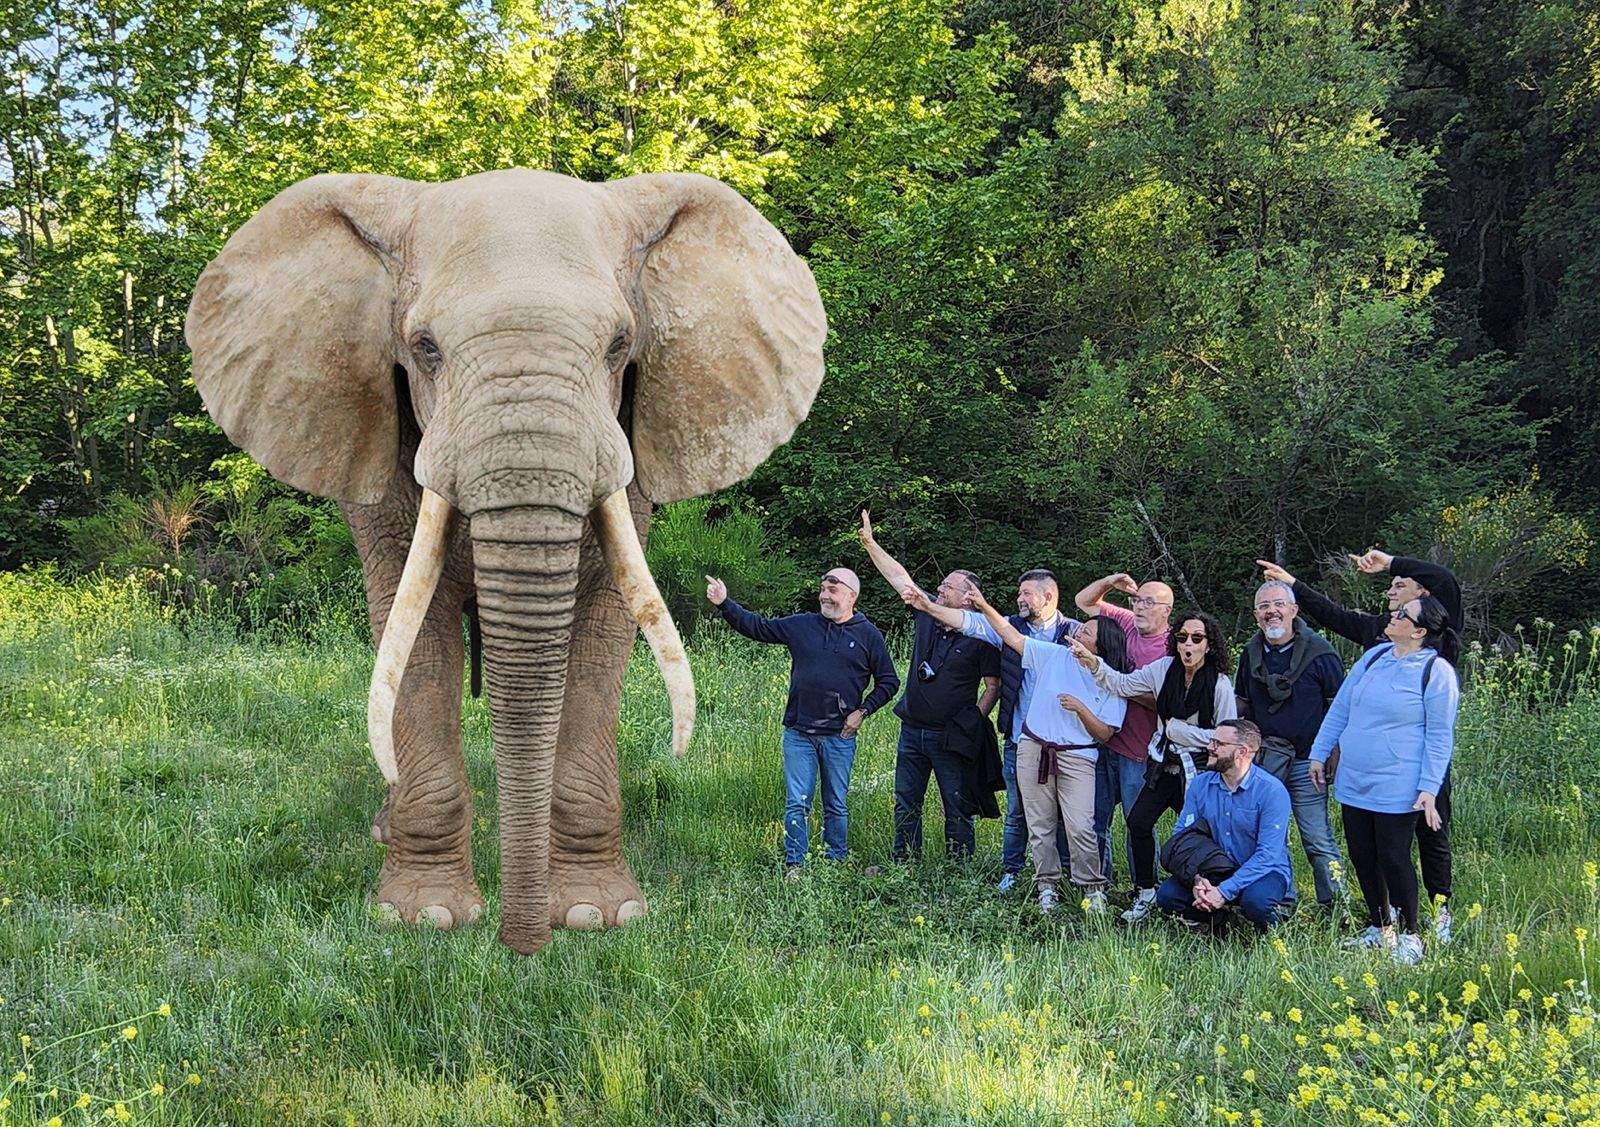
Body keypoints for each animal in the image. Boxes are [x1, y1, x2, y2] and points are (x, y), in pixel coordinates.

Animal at [190, 169, 825, 947]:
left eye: (620, 345)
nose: (520, 947)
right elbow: (416, 634)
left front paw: (594, 915)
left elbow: (601, 634)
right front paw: (423, 917)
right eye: (424, 348)